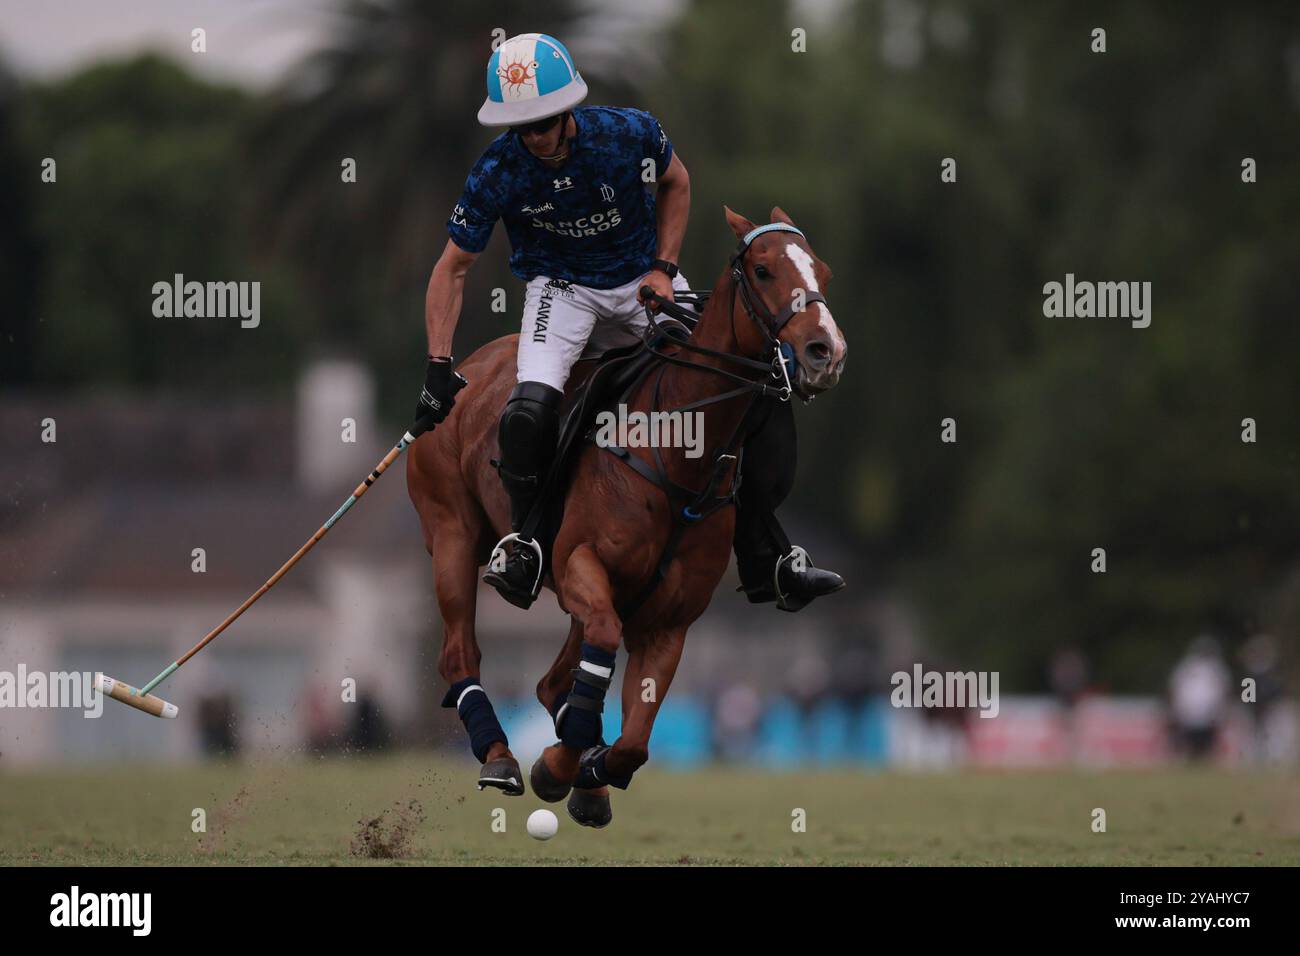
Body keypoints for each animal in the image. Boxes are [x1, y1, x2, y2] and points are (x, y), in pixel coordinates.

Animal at [410, 205, 847, 827]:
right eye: (763, 270)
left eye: (823, 273)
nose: (824, 352)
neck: (678, 451)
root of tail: (469, 368)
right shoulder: (578, 565)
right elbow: (597, 661)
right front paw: (558, 766)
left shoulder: (669, 620)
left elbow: (634, 742)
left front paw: (587, 773)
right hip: (452, 532)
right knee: (460, 652)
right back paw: (501, 757)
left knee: (551, 683)